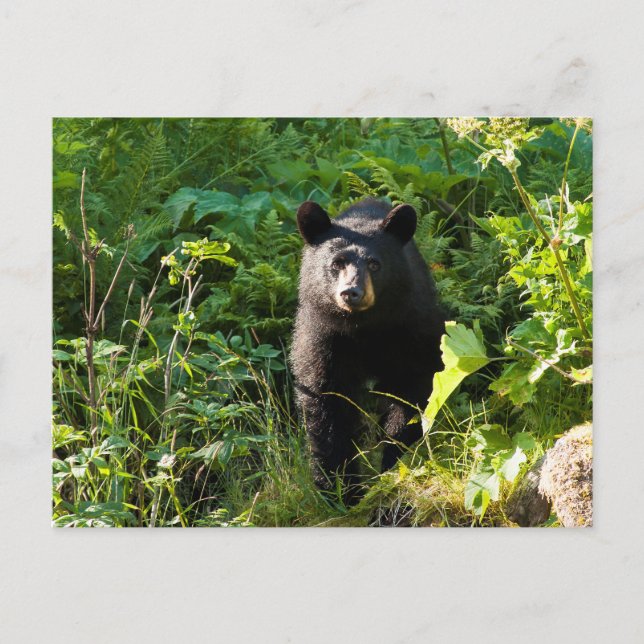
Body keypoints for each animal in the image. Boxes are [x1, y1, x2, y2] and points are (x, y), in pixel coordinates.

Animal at [290, 198, 445, 502]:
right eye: (336, 263)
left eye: (374, 264)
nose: (351, 292)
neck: (364, 328)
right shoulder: (323, 338)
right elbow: (326, 403)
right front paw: (340, 489)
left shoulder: (412, 329)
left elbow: (413, 390)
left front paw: (393, 462)